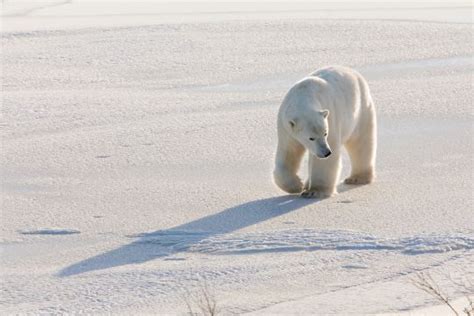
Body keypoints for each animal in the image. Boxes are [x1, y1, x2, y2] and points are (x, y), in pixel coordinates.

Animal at [272, 65, 376, 199]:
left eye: (325, 133)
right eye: (311, 138)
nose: (326, 152)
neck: (304, 94)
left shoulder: (330, 118)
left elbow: (325, 162)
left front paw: (315, 191)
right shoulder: (286, 128)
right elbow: (289, 152)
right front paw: (297, 186)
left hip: (361, 110)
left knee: (360, 143)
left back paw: (357, 178)